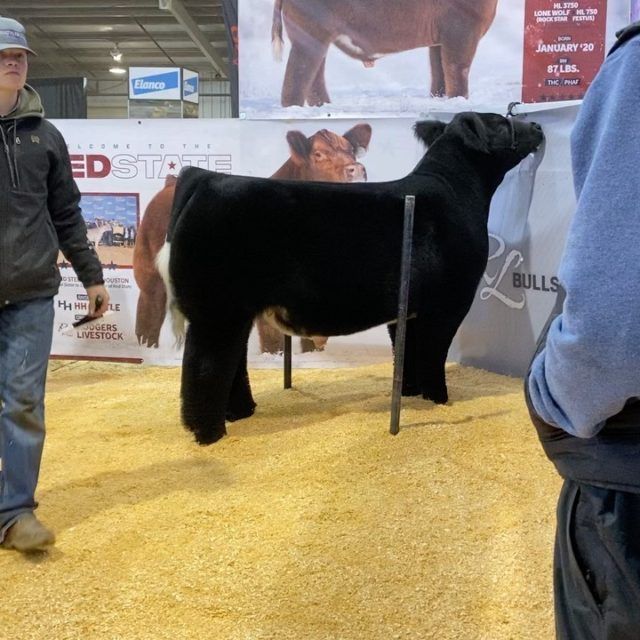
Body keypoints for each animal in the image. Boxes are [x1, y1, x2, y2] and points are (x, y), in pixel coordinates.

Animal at [158, 112, 544, 442]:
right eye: (500, 122)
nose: (539, 126)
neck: (457, 191)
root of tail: (206, 178)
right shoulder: (449, 304)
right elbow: (433, 353)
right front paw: (438, 398)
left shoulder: (407, 309)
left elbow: (407, 352)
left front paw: (410, 393)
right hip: (217, 312)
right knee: (204, 369)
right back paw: (209, 433)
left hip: (232, 313)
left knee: (232, 363)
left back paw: (241, 412)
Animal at [272, 0, 498, 107]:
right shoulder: (461, 30)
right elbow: (458, 71)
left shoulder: (439, 39)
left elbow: (439, 74)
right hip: (310, 37)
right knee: (295, 81)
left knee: (314, 80)